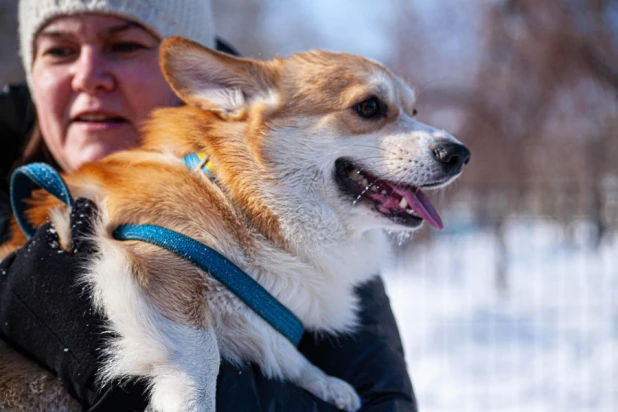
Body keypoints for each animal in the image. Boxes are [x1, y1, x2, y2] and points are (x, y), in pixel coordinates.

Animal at [0, 37, 466, 410]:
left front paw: (328, 383)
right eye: (369, 107)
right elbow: (201, 360)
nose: (459, 153)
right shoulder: (153, 263)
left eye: (413, 110)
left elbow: (286, 351)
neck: (238, 199)